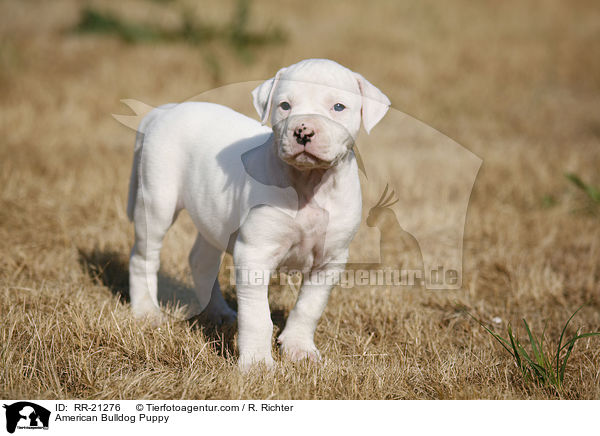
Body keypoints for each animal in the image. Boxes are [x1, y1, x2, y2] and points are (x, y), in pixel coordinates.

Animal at [129, 59, 392, 370]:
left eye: (338, 107)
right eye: (285, 105)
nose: (303, 132)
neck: (309, 183)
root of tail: (166, 110)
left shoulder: (330, 260)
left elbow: (309, 307)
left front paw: (299, 348)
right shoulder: (254, 253)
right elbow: (256, 316)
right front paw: (256, 364)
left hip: (214, 215)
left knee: (201, 260)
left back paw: (218, 312)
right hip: (157, 201)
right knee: (144, 256)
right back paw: (146, 310)